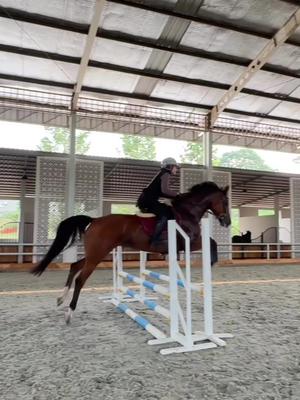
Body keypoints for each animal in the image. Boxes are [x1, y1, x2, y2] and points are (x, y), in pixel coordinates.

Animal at [31, 183, 231, 324]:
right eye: (225, 202)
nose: (227, 222)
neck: (187, 212)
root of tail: (94, 220)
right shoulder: (191, 241)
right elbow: (212, 242)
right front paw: (211, 261)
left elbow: (212, 242)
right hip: (97, 255)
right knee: (81, 279)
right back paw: (69, 312)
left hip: (96, 254)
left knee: (74, 266)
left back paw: (60, 299)